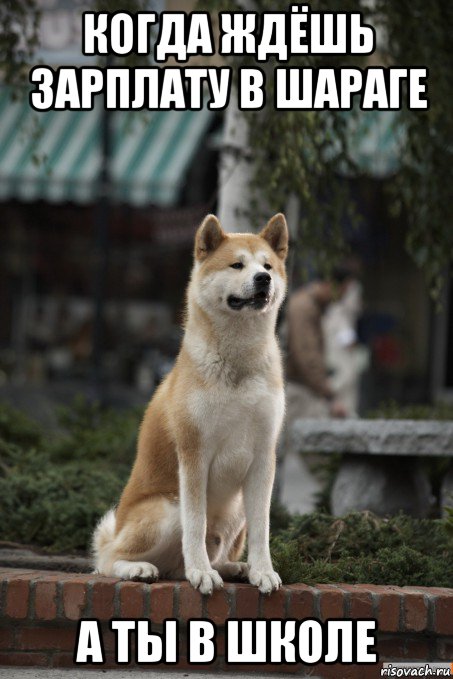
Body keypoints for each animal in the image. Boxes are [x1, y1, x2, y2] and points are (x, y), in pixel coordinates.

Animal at [93, 212, 288, 596]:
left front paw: (263, 571)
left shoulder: (263, 457)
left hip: (236, 509)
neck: (237, 364)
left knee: (203, 558)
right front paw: (201, 573)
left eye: (268, 266)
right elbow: (195, 526)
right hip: (167, 508)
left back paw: (235, 568)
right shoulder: (194, 454)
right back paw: (142, 568)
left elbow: (262, 530)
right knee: (108, 560)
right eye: (237, 264)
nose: (263, 279)